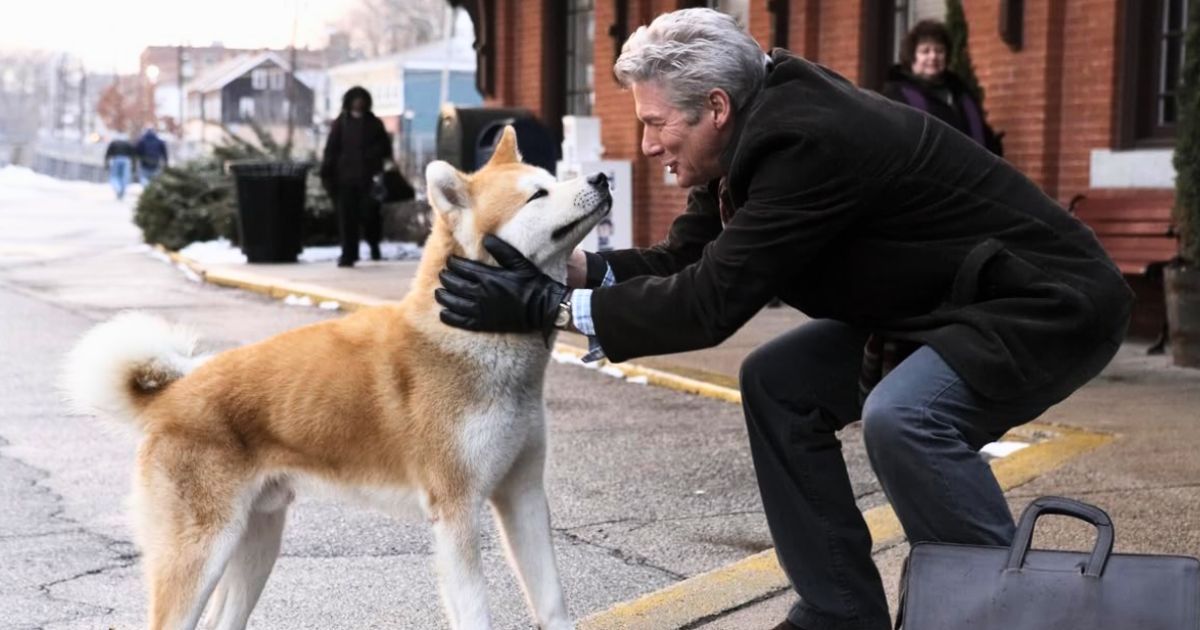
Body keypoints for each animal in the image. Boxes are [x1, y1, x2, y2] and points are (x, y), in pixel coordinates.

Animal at [63, 125, 609, 624]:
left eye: (553, 178)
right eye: (537, 194)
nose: (602, 177)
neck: (472, 335)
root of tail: (170, 396)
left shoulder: (523, 496)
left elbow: (553, 603)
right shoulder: (456, 511)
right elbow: (475, 610)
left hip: (257, 540)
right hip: (200, 553)